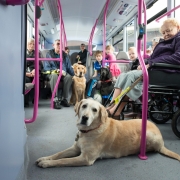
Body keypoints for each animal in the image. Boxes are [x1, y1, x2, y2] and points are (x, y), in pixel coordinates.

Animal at [36, 98, 180, 167]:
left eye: (94, 110)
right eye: (84, 106)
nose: (85, 118)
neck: (89, 131)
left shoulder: (85, 158)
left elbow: (63, 161)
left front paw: (47, 163)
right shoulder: (75, 148)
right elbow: (58, 154)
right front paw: (45, 158)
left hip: (149, 136)